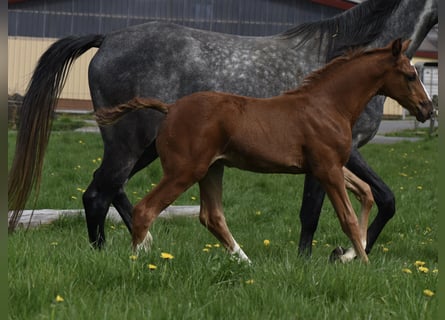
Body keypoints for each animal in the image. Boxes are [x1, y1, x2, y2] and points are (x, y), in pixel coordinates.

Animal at [8, 0, 436, 258]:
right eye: (411, 74)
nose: (428, 109)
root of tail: (107, 38)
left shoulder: (341, 155)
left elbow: (379, 197)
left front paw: (341, 254)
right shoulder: (341, 154)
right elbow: (321, 210)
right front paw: (329, 257)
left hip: (149, 149)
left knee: (111, 189)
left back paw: (147, 246)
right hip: (131, 144)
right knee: (99, 193)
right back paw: (111, 253)